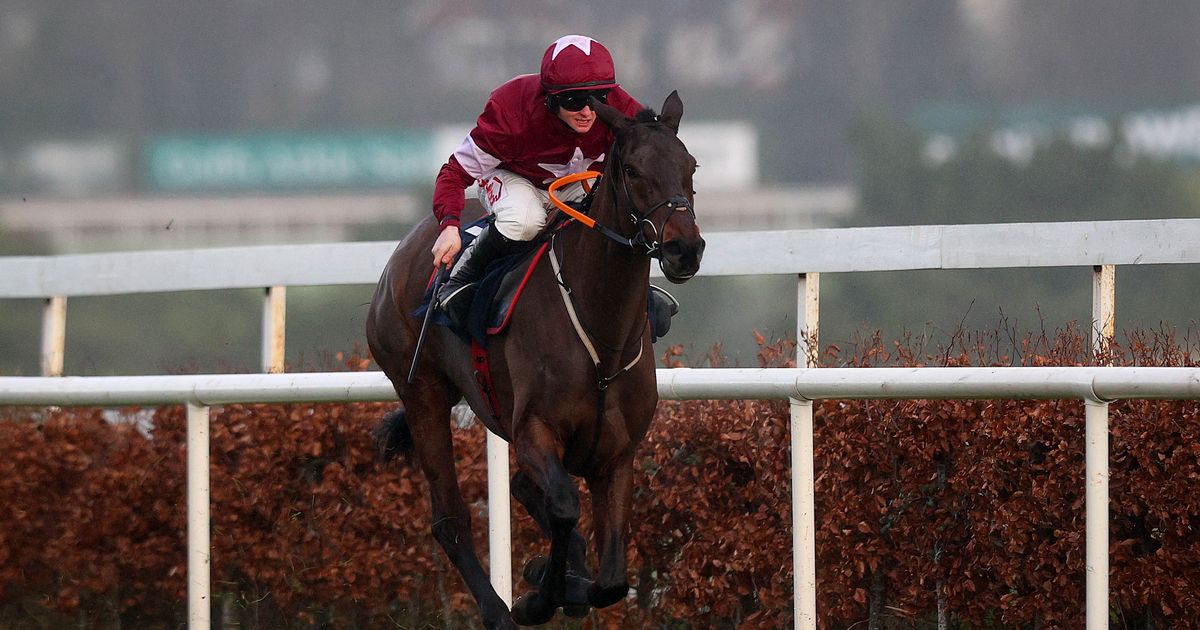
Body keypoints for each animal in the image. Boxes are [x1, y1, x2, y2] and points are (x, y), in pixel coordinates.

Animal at [366, 91, 704, 629]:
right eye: (632, 170)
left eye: (690, 166)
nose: (684, 249)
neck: (601, 335)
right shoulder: (533, 431)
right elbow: (564, 505)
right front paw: (539, 594)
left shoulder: (618, 453)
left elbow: (612, 581)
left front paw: (558, 578)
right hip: (422, 394)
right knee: (451, 517)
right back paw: (499, 610)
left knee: (524, 488)